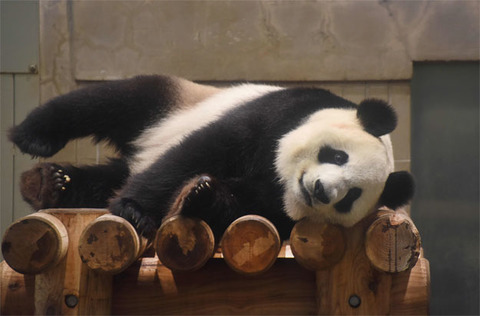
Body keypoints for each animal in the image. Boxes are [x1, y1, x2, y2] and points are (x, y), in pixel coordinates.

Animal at [8, 75, 412, 241]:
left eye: (351, 197)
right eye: (337, 155)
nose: (320, 190)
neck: (281, 181)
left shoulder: (276, 208)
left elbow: (242, 207)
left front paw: (199, 196)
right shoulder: (278, 115)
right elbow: (203, 150)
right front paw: (134, 211)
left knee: (109, 176)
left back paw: (51, 184)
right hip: (176, 103)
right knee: (112, 102)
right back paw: (34, 142)